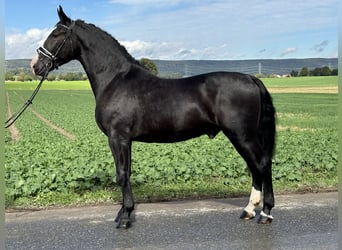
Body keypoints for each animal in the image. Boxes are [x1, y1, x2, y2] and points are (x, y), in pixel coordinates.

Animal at [32, 5, 276, 229]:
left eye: (56, 34)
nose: (36, 66)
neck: (115, 79)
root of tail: (251, 79)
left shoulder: (118, 137)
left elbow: (122, 174)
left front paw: (125, 217)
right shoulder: (125, 140)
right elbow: (127, 173)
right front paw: (123, 213)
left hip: (241, 134)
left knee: (262, 165)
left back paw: (265, 213)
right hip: (240, 136)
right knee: (255, 167)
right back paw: (249, 210)